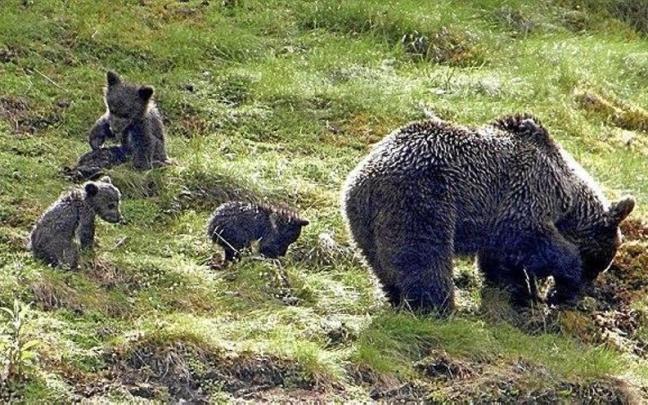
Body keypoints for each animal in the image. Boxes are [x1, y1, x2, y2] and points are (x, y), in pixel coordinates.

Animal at [341, 114, 634, 313]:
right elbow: (527, 235)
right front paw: (563, 274)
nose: (578, 294)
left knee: (382, 262)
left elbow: (502, 259)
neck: (568, 192)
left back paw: (396, 296)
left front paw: (515, 291)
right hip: (422, 199)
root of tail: (366, 179)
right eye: (596, 263)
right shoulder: (527, 191)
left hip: (362, 222)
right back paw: (435, 306)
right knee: (423, 255)